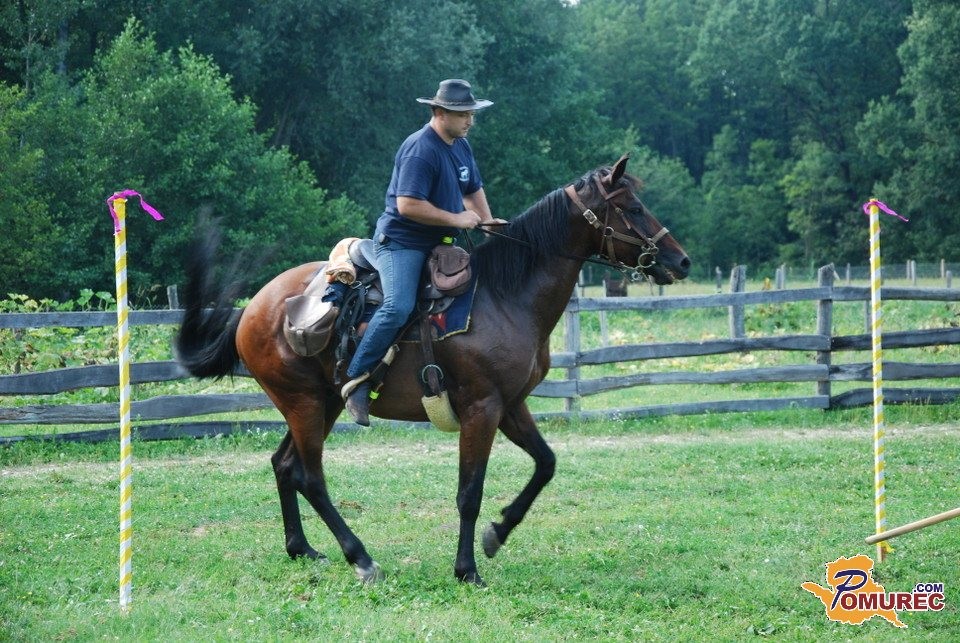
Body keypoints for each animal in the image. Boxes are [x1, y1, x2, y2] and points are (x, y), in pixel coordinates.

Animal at [175, 155, 690, 586]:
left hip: (321, 404)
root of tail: (254, 308)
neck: (505, 295)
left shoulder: (510, 405)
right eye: (634, 207)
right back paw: (360, 558)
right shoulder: (481, 409)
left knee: (284, 466)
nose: (680, 260)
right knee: (309, 478)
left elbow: (546, 464)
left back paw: (302, 549)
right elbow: (469, 492)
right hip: (303, 404)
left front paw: (498, 533)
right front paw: (467, 569)